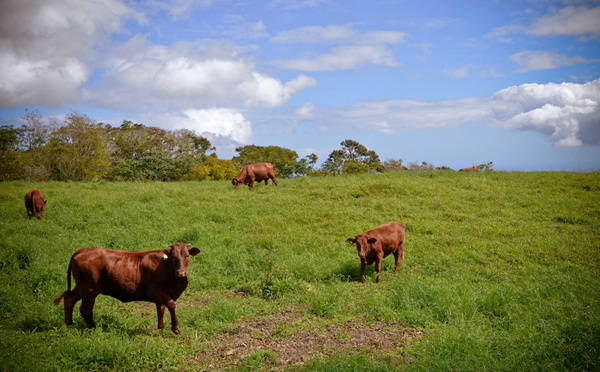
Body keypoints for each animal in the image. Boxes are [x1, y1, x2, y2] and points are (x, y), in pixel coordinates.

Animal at [54, 241, 199, 334]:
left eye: (187, 255)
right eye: (174, 257)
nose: (181, 273)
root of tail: (83, 250)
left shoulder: (162, 293)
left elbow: (161, 309)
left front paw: (161, 328)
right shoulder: (155, 291)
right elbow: (171, 305)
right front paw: (175, 329)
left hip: (81, 287)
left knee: (69, 299)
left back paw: (68, 324)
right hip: (89, 289)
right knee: (85, 309)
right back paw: (92, 328)